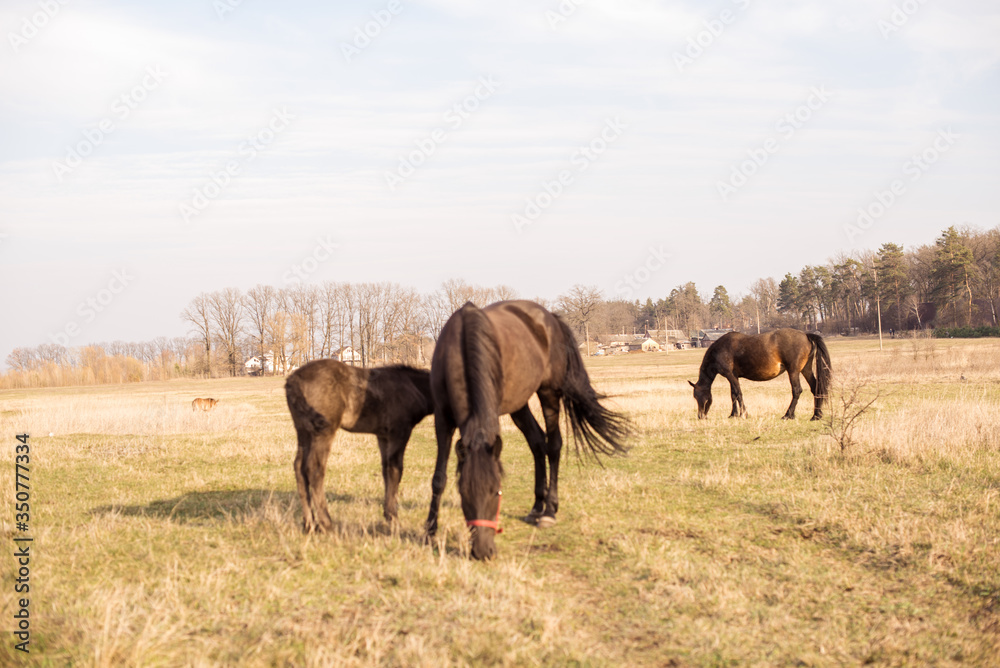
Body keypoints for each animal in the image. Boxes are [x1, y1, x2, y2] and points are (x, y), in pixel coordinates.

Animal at [286, 358, 434, 536]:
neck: (413, 388)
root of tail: (292, 382)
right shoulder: (399, 433)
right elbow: (395, 470)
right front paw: (394, 520)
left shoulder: (383, 436)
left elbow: (386, 470)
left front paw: (388, 515)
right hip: (323, 431)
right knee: (314, 469)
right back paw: (326, 524)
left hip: (303, 431)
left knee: (299, 468)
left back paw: (309, 524)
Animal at [426, 300, 628, 560]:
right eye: (463, 493)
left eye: (496, 491)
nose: (483, 552)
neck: (461, 346)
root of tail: (549, 317)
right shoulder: (442, 419)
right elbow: (438, 478)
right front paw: (429, 530)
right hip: (519, 405)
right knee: (537, 442)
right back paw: (536, 507)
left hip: (549, 392)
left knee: (553, 445)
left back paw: (549, 511)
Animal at [692, 328, 832, 420]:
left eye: (698, 396)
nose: (700, 416)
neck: (720, 349)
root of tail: (806, 335)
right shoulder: (732, 376)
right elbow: (733, 395)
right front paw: (733, 414)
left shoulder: (730, 375)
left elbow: (738, 394)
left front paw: (744, 413)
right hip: (805, 369)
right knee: (815, 388)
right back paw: (816, 415)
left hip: (793, 371)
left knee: (797, 390)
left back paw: (788, 415)